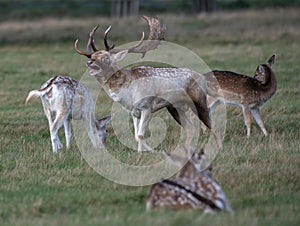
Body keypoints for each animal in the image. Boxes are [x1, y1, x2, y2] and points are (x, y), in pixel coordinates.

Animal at [74, 16, 219, 152]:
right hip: (175, 107)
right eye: (92, 56)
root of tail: (204, 78)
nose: (90, 62)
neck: (128, 93)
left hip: (199, 100)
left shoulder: (147, 107)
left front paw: (143, 153)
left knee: (212, 126)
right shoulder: (134, 111)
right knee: (190, 128)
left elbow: (140, 135)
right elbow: (136, 135)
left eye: (106, 57)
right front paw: (144, 152)